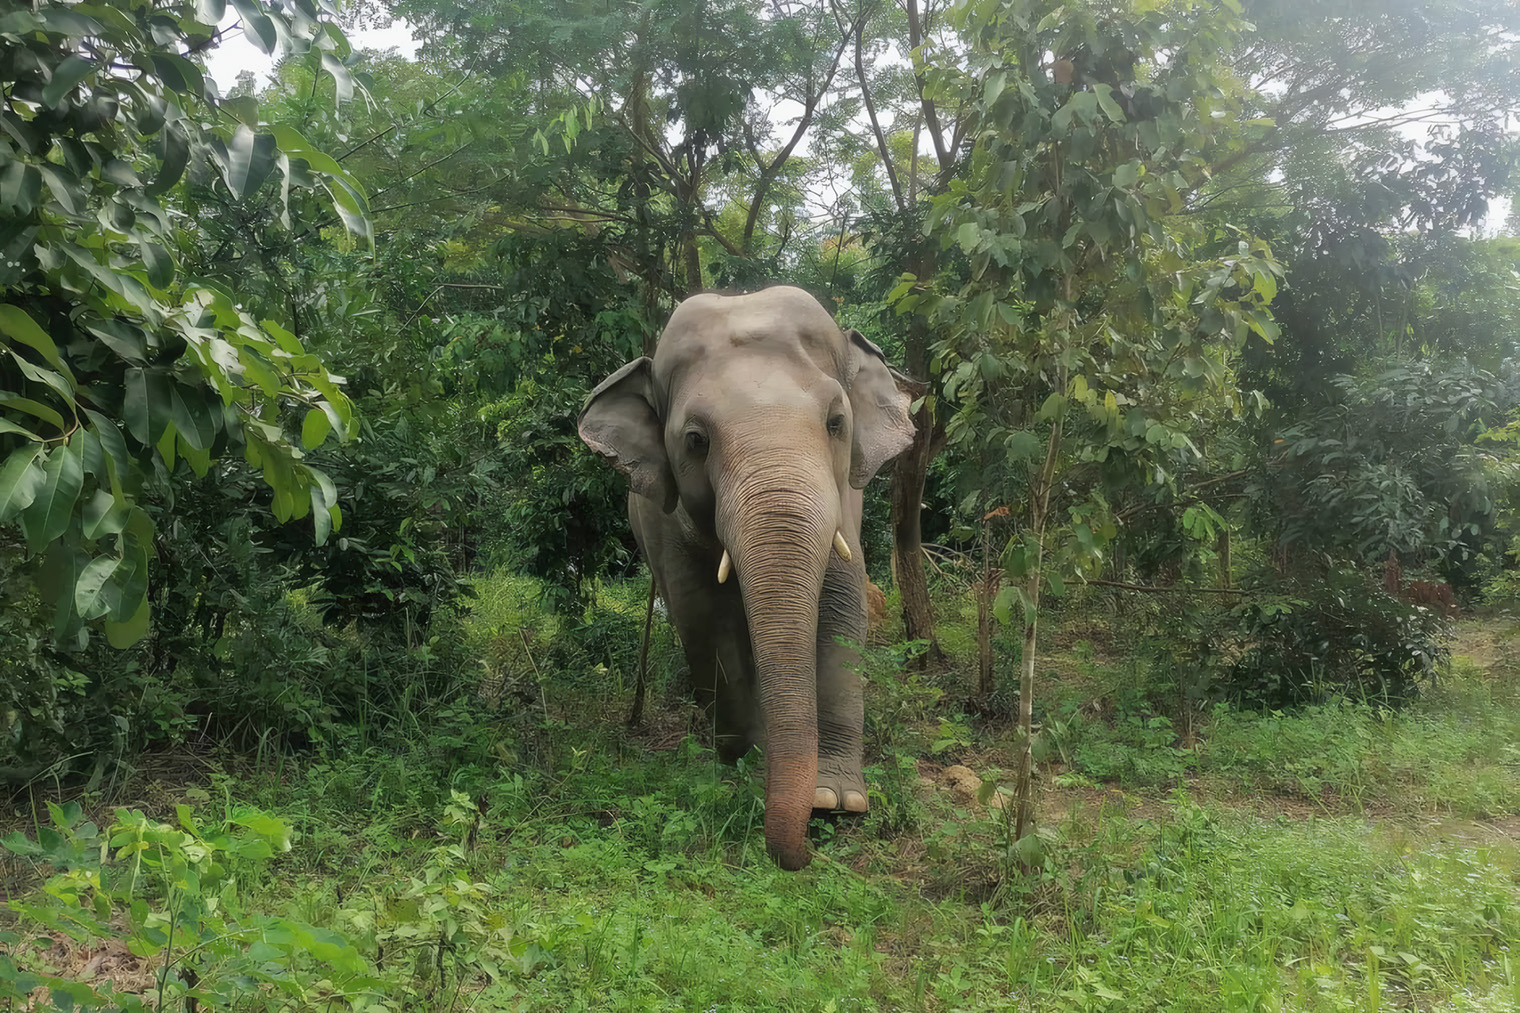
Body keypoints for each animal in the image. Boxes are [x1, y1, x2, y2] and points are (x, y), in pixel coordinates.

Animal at [578, 286, 915, 869]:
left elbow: (842, 611)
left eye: (836, 422)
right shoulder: (669, 527)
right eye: (695, 440)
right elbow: (703, 620)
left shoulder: (845, 502)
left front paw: (838, 801)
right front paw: (749, 770)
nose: (804, 855)